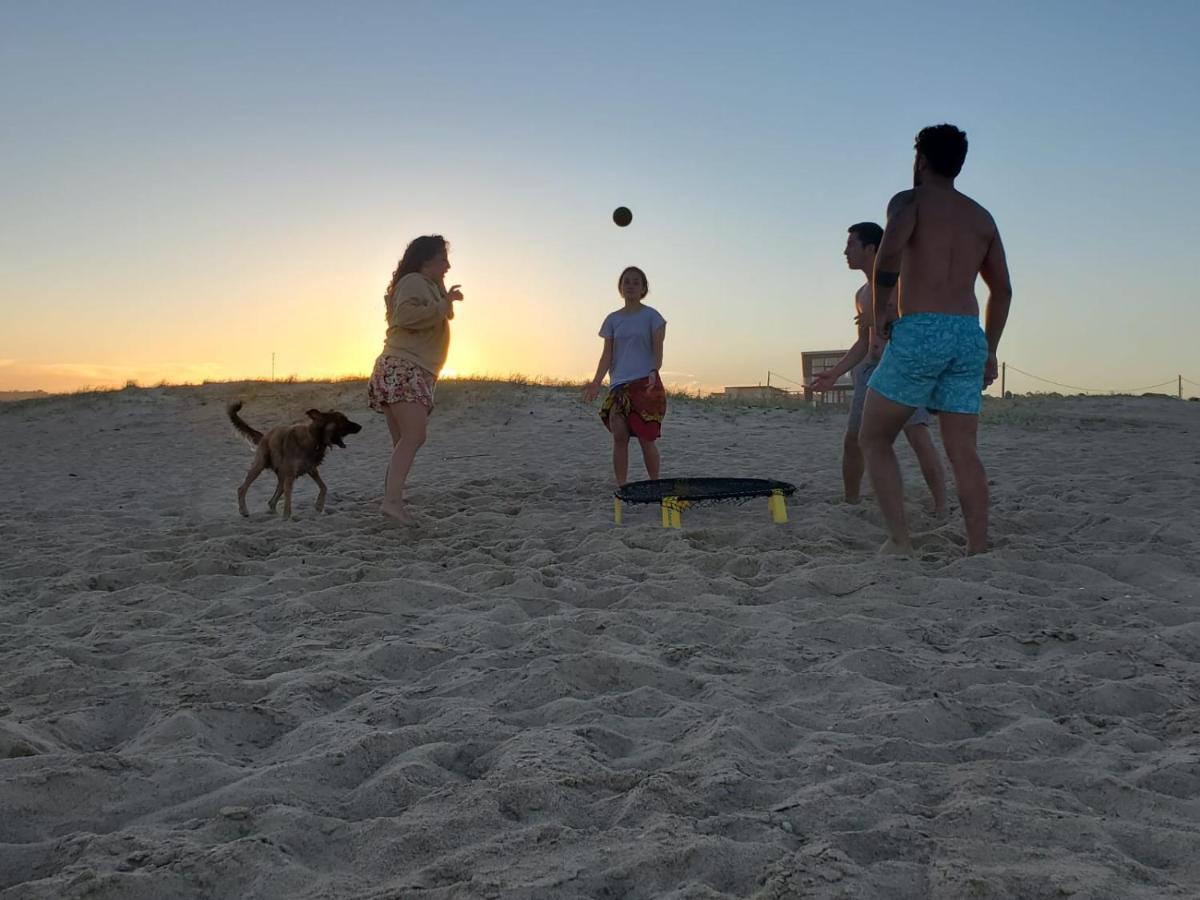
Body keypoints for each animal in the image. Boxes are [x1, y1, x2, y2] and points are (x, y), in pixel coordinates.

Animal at [225, 403, 360, 520]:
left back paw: (273, 513)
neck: (314, 438)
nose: (360, 427)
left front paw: (319, 506)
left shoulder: (311, 469)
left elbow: (324, 487)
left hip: (282, 477)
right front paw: (286, 517)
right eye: (342, 420)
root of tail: (265, 436)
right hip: (260, 465)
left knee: (271, 501)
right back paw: (244, 510)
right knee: (242, 489)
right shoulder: (291, 475)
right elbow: (288, 500)